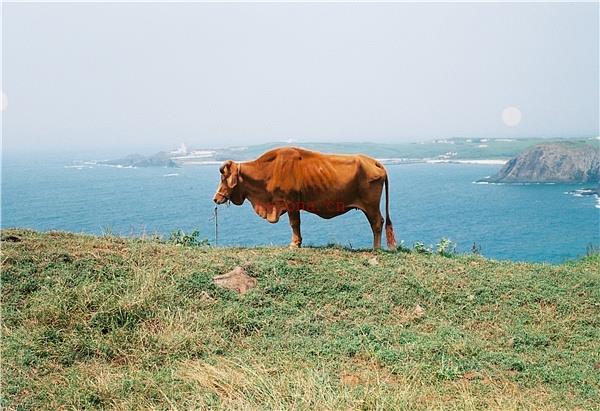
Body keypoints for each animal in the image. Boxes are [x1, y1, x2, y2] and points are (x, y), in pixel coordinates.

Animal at [213, 148, 396, 251]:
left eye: (223, 178)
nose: (216, 198)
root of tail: (374, 161)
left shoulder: (291, 202)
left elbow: (294, 223)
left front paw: (295, 244)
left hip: (371, 205)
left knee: (377, 222)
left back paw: (376, 248)